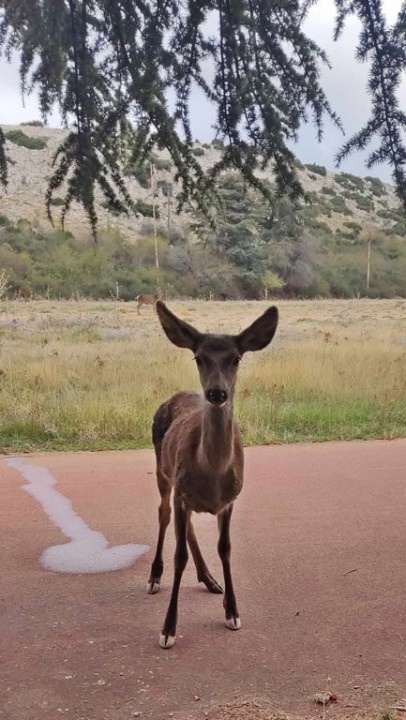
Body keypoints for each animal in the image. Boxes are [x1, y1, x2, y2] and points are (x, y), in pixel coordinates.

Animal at [149, 300, 280, 648]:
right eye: (199, 357)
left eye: (236, 358)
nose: (217, 393)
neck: (212, 474)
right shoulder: (181, 490)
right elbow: (179, 554)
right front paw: (168, 629)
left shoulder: (230, 500)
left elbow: (226, 549)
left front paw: (232, 611)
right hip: (162, 469)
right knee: (163, 513)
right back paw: (155, 575)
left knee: (189, 525)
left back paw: (209, 579)